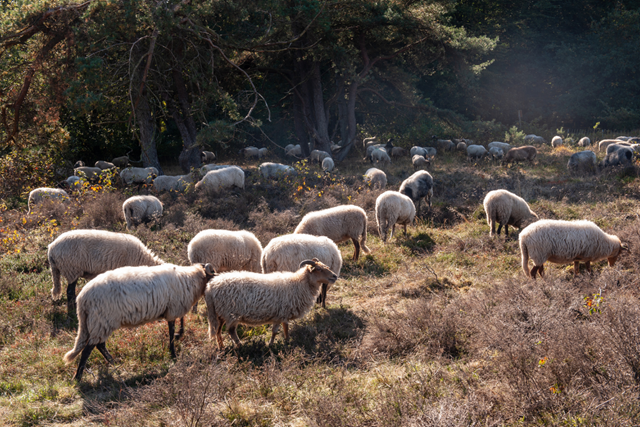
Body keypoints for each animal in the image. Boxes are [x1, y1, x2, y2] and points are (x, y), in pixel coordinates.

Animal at [63, 264, 216, 382]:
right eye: (213, 275)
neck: (191, 278)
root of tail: (82, 299)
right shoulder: (174, 308)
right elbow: (172, 332)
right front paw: (173, 353)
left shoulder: (173, 309)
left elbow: (181, 320)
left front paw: (180, 335)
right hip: (102, 321)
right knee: (89, 348)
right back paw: (79, 376)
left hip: (98, 322)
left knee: (99, 345)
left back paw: (113, 362)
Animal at [205, 260, 338, 350]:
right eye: (318, 269)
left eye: (326, 267)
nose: (334, 276)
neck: (299, 284)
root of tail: (211, 286)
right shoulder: (280, 314)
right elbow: (275, 331)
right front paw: (271, 344)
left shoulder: (284, 314)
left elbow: (285, 328)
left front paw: (287, 341)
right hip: (230, 313)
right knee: (231, 331)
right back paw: (240, 345)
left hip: (220, 313)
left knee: (218, 330)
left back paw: (221, 347)